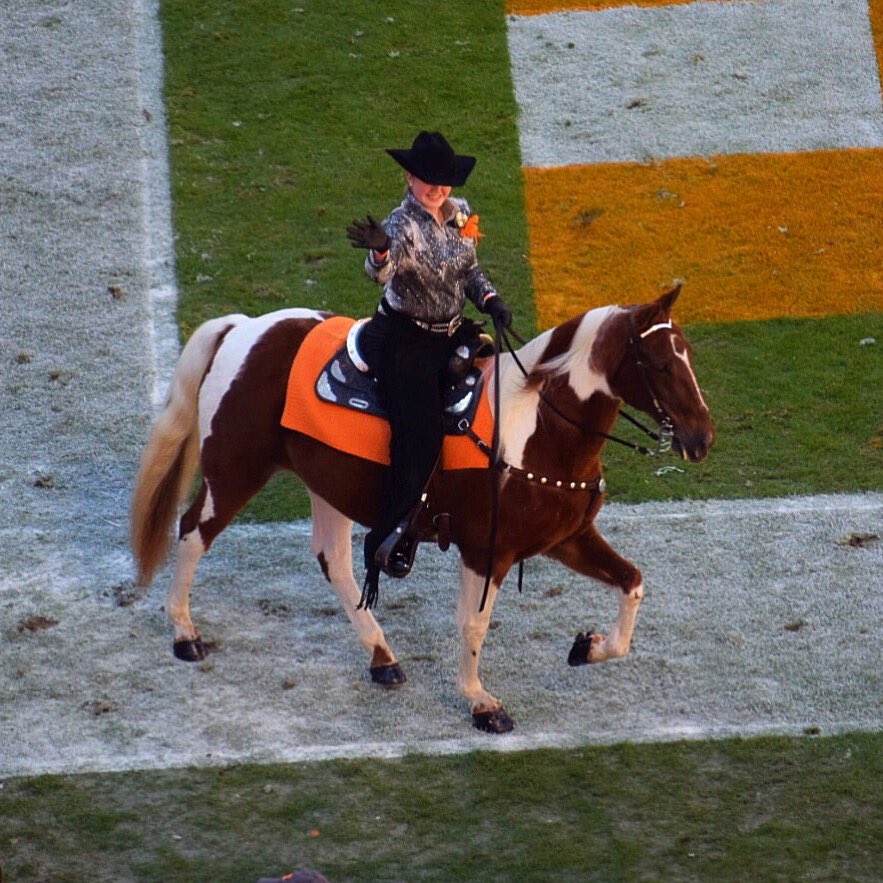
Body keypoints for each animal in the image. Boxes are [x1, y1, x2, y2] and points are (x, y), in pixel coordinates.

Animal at [131, 285, 714, 733]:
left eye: (689, 352)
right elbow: (474, 624)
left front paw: (588, 647)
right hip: (235, 471)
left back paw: (382, 657)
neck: (539, 427)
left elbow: (632, 582)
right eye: (660, 363)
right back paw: (184, 634)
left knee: (333, 561)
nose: (702, 437)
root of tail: (244, 327)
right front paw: (481, 703)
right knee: (192, 533)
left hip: (329, 484)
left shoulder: (567, 537)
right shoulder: (487, 550)